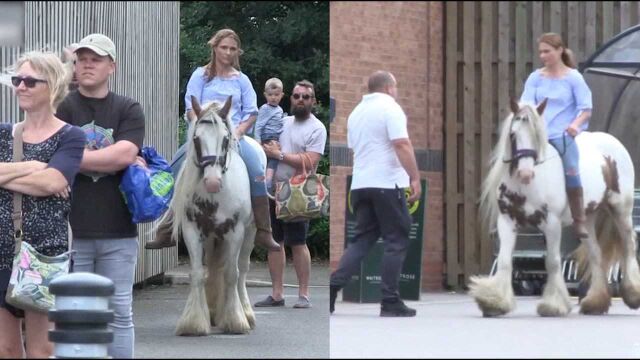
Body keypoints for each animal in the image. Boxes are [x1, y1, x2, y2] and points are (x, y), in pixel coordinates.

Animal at [468, 98, 640, 318]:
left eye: (537, 135)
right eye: (513, 134)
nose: (525, 173)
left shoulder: (551, 224)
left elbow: (552, 262)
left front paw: (553, 305)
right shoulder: (506, 222)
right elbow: (505, 260)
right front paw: (495, 302)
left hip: (620, 209)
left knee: (629, 245)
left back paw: (633, 294)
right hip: (588, 217)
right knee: (595, 253)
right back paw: (595, 303)